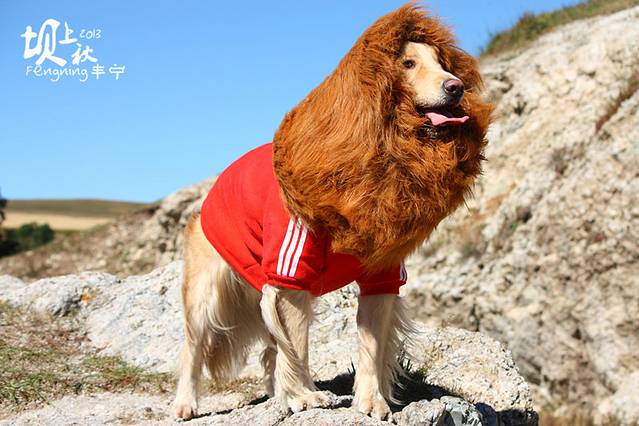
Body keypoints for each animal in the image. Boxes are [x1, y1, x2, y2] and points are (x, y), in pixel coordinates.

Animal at [174, 3, 492, 421]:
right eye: (407, 63)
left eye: (442, 63)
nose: (456, 86)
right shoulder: (290, 272)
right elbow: (297, 344)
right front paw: (306, 396)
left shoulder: (381, 274)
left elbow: (371, 347)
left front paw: (370, 401)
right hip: (207, 292)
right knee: (194, 348)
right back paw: (186, 402)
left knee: (270, 349)